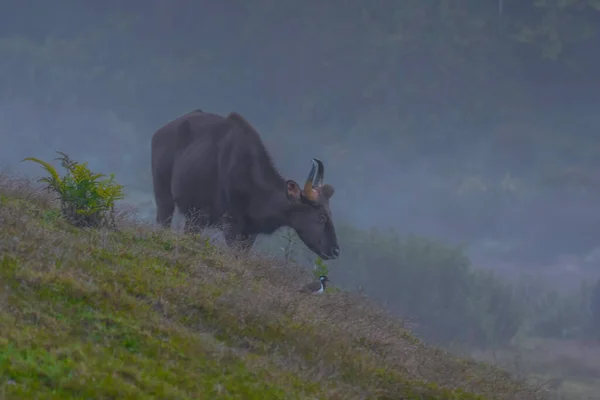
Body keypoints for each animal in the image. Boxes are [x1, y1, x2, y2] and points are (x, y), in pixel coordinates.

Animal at [150, 109, 340, 260]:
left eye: (330, 213)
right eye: (321, 216)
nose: (335, 251)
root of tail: (159, 133)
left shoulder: (250, 233)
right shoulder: (231, 225)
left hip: (195, 218)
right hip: (164, 198)